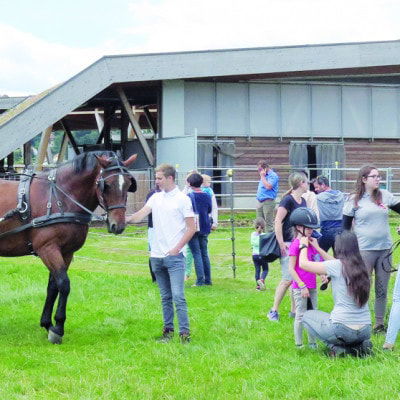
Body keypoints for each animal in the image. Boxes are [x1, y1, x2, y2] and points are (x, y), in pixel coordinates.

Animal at [0, 150, 137, 344]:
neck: (62, 196)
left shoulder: (66, 252)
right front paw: (58, 328)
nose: (118, 225)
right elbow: (64, 284)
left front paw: (47, 324)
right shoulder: (47, 249)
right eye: (107, 185)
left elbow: (53, 286)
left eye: (128, 184)